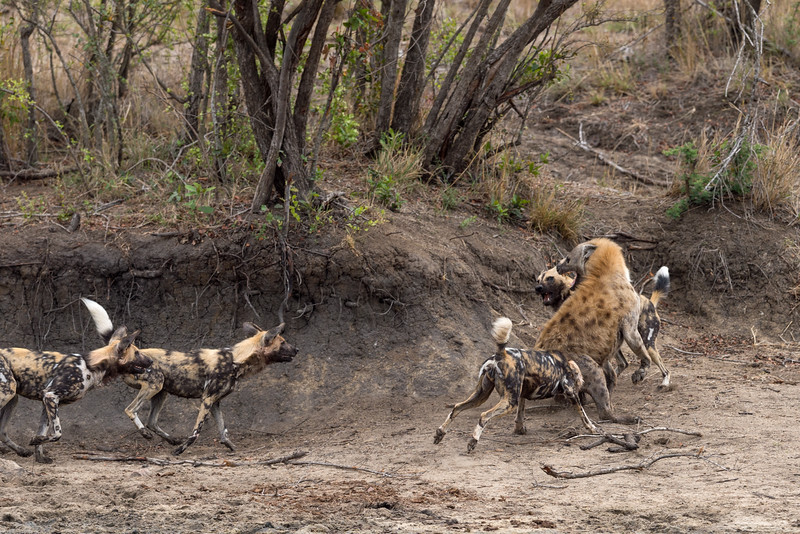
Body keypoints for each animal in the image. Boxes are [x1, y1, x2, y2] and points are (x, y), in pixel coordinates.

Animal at [0, 326, 147, 464]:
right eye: (137, 353)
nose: (150, 360)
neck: (90, 367)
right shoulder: (51, 396)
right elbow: (57, 433)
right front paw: (36, 441)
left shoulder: (46, 402)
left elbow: (42, 433)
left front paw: (39, 454)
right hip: (8, 391)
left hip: (13, 399)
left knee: (2, 431)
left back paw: (21, 451)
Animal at [83, 298, 298, 456]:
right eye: (283, 342)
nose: (297, 349)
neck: (235, 359)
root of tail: (129, 352)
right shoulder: (207, 399)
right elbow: (196, 432)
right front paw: (181, 450)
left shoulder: (215, 402)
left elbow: (223, 430)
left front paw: (230, 446)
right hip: (154, 386)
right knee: (130, 410)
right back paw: (146, 434)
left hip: (161, 392)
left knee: (152, 421)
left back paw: (170, 440)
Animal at [434, 318, 636, 452]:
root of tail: (500, 355)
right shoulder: (572, 393)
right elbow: (585, 417)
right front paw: (594, 429)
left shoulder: (522, 395)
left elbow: (520, 416)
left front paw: (520, 430)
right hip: (508, 402)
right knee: (483, 416)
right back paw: (472, 442)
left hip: (482, 395)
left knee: (456, 408)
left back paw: (440, 433)